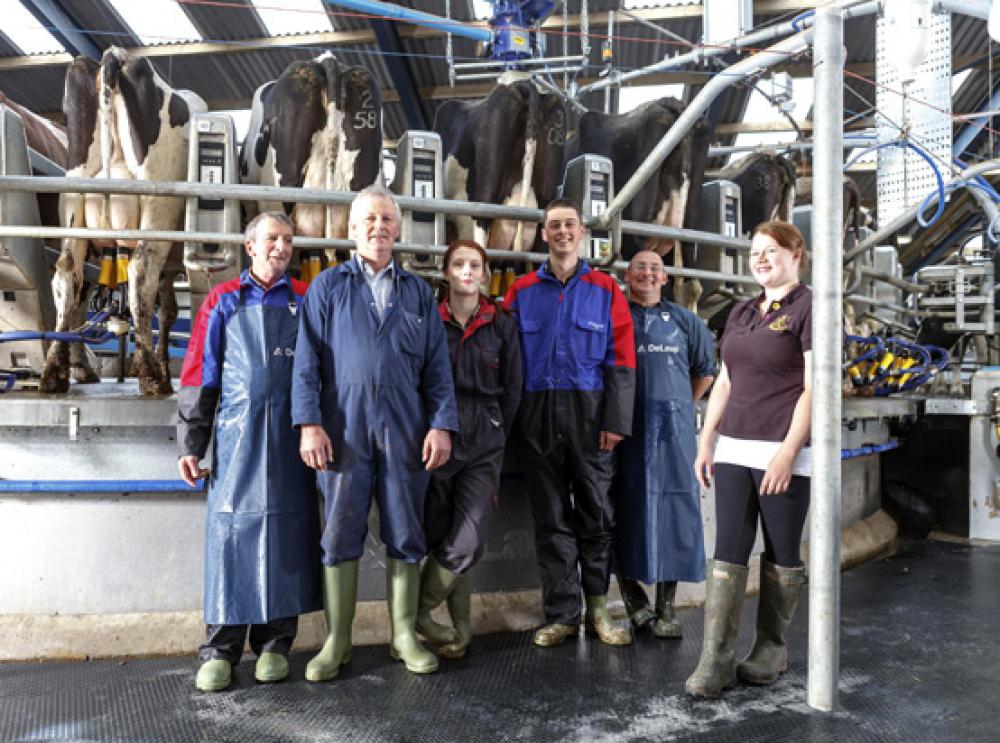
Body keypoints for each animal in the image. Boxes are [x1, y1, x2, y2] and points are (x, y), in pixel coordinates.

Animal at [41, 49, 207, 398]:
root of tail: (115, 55)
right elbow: (167, 310)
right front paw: (164, 372)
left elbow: (168, 310)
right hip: (157, 206)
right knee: (141, 271)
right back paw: (150, 376)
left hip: (73, 202)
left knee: (66, 272)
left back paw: (55, 372)